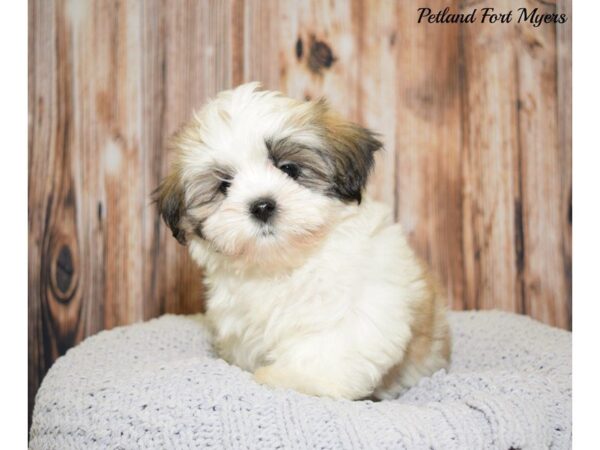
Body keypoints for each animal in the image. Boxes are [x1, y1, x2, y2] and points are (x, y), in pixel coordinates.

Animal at [155, 82, 450, 400]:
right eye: (225, 186)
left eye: (289, 169)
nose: (262, 206)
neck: (285, 264)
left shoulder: (358, 306)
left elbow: (327, 347)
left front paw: (293, 378)